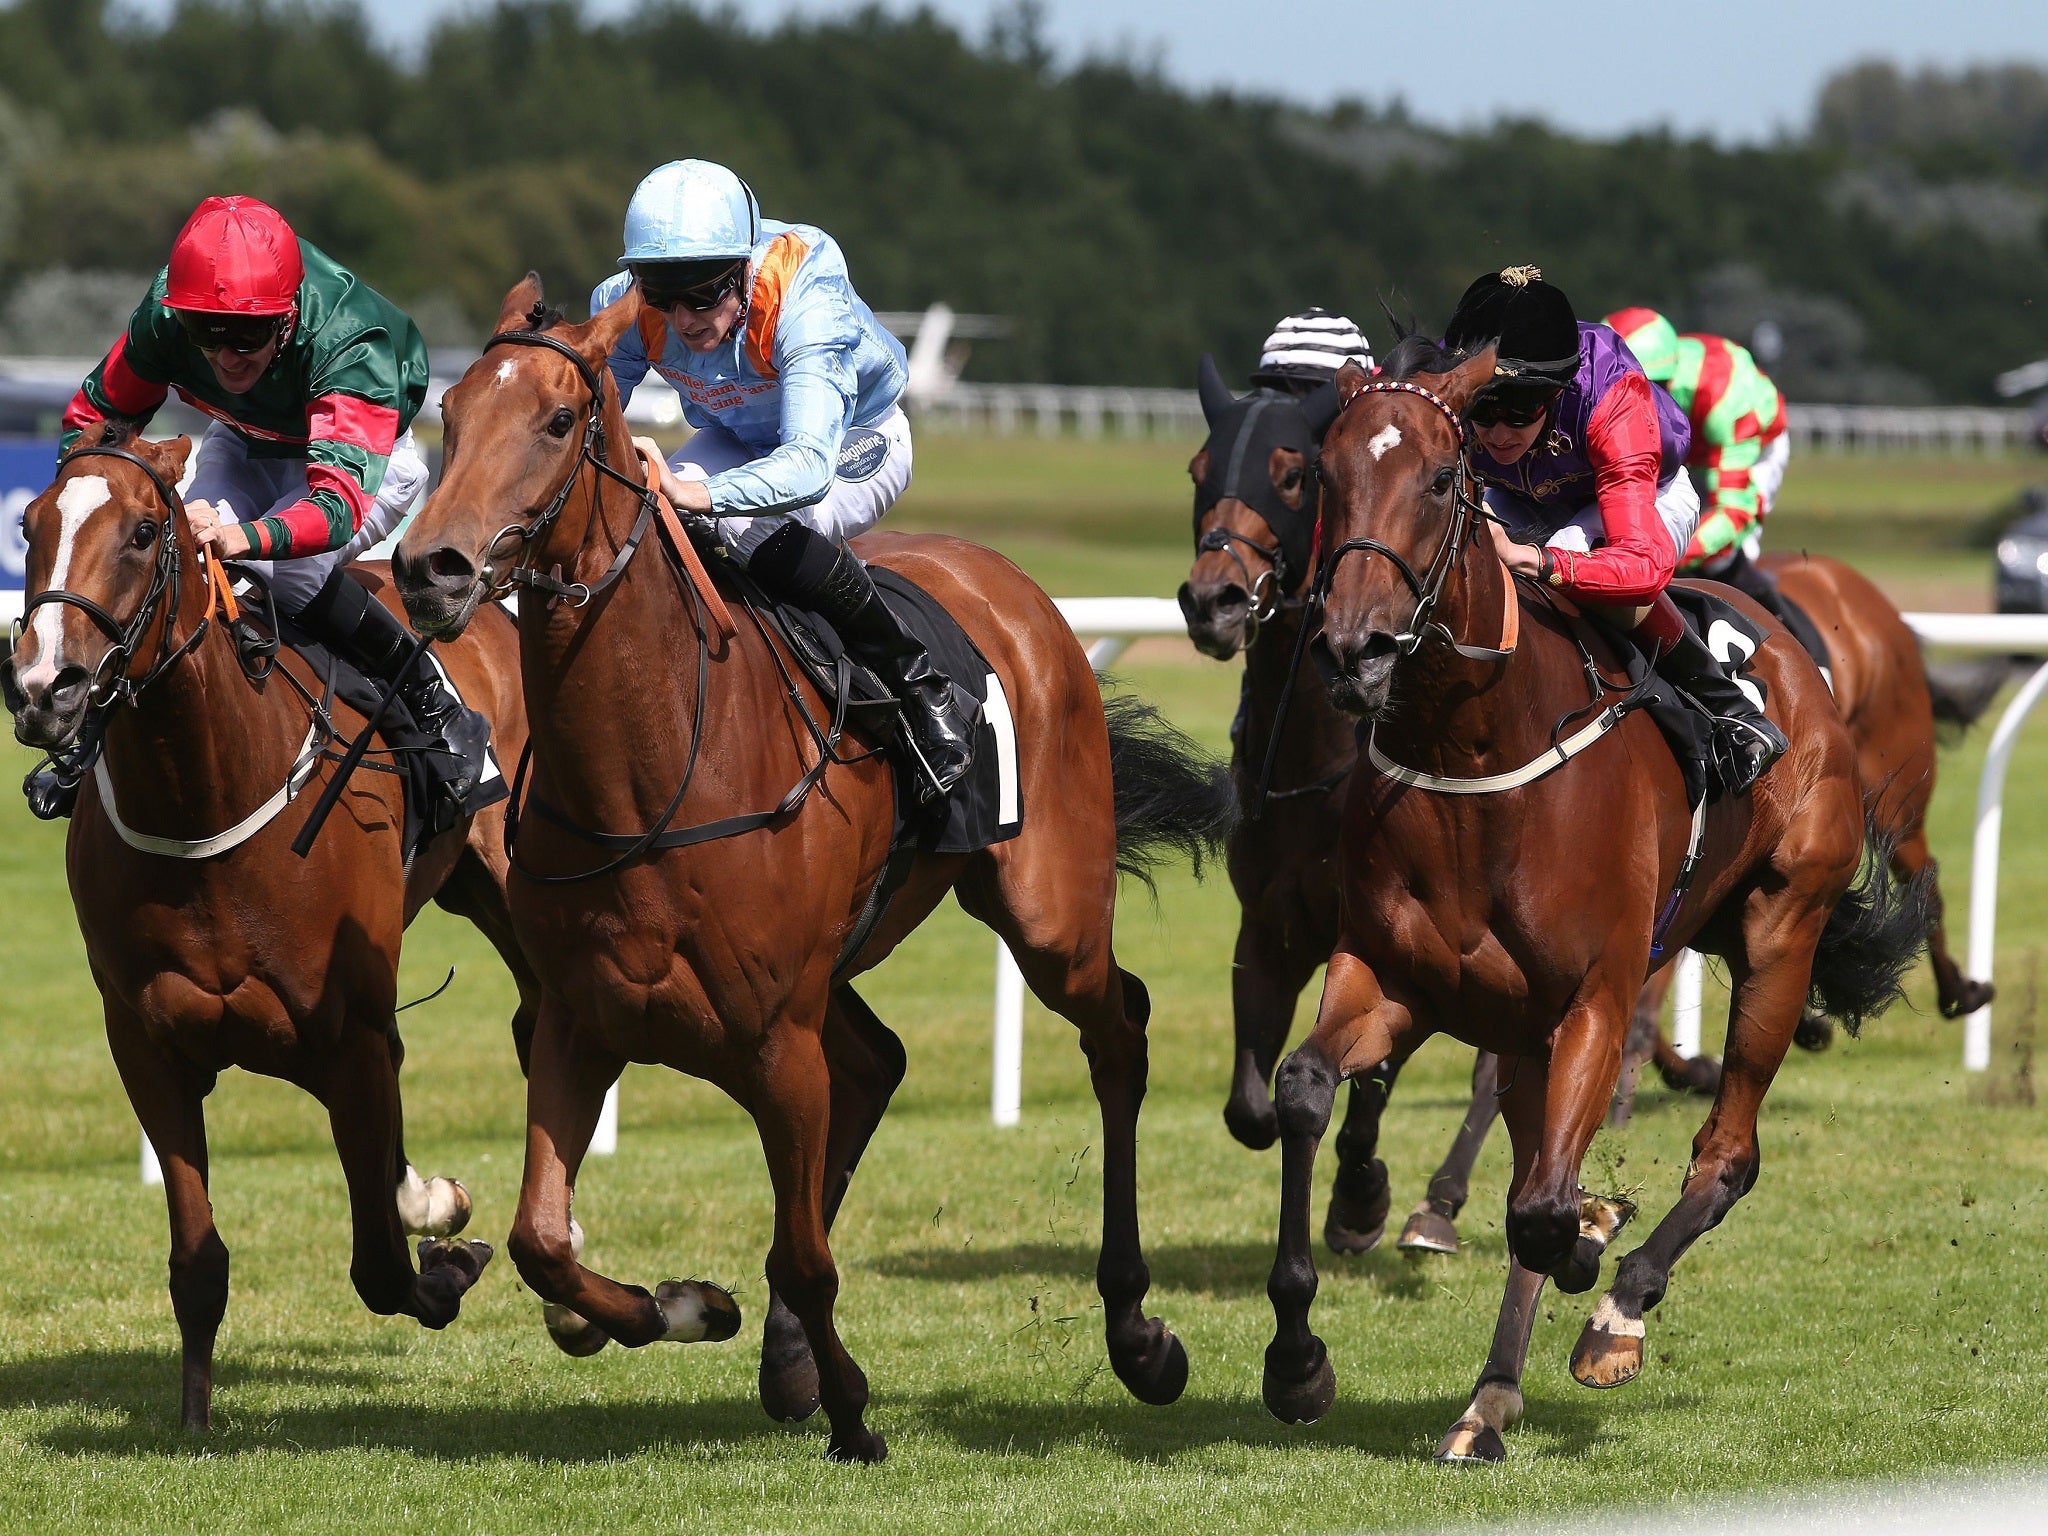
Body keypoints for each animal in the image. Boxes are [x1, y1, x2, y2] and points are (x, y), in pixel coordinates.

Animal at [2, 423, 528, 1433]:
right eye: (30, 524)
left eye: (141, 534)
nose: (45, 688)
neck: (206, 788)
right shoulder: (148, 1045)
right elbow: (198, 1261)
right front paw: (194, 1421)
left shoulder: (349, 1040)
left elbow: (381, 1267)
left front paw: (448, 1259)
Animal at [389, 276, 1220, 1466]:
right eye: (449, 413)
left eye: (556, 420)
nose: (430, 569)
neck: (652, 774)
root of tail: (1016, 591)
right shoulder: (580, 1020)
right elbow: (543, 1238)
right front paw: (685, 1308)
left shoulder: (777, 1042)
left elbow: (803, 1252)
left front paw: (852, 1412)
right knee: (878, 1062)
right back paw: (787, 1355)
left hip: (1049, 917)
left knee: (1118, 1035)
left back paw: (1136, 1332)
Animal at [1253, 348, 1925, 1466]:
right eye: (1325, 475)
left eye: (1440, 479)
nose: (1354, 649)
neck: (1474, 755)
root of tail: (1800, 663)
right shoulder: (1394, 977)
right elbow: (1304, 1091)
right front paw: (1297, 1361)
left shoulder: (1596, 1001)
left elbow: (1540, 1212)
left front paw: (1589, 1247)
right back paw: (1487, 1398)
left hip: (1778, 933)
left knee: (1725, 1154)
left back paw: (1617, 1309)